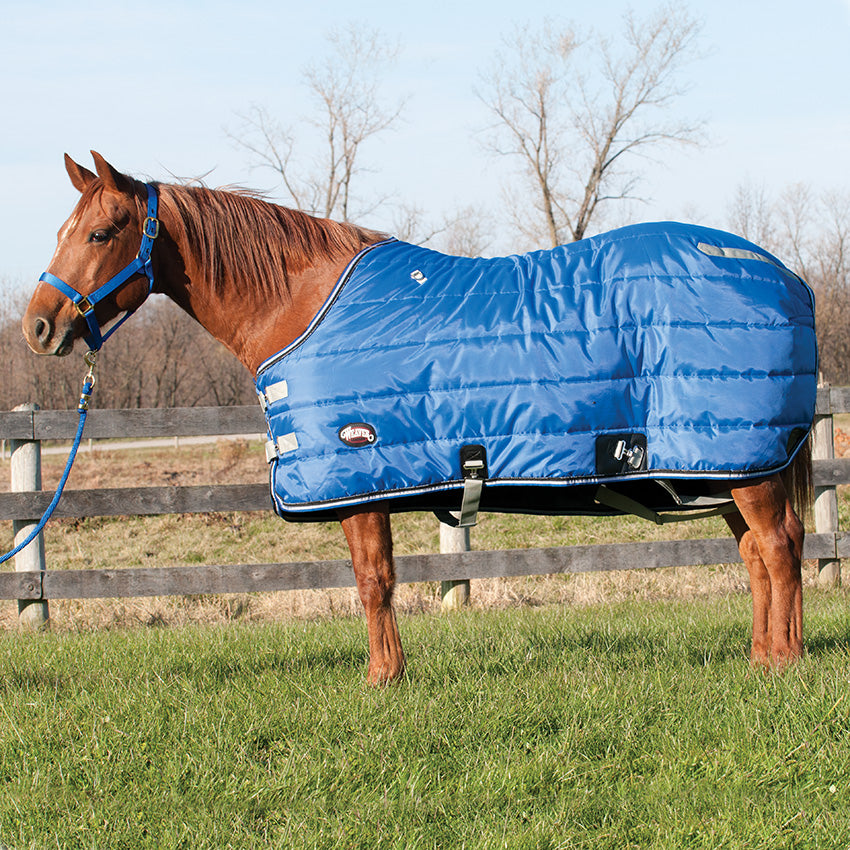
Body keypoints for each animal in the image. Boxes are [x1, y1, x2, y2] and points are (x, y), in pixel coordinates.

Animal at [23, 152, 812, 684]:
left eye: (101, 234)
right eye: (63, 228)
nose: (38, 326)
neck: (297, 304)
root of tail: (789, 276)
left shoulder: (359, 475)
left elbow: (374, 581)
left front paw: (383, 678)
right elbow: (375, 581)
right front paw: (388, 674)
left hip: (742, 461)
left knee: (777, 547)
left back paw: (779, 662)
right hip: (725, 465)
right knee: (758, 553)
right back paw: (762, 654)